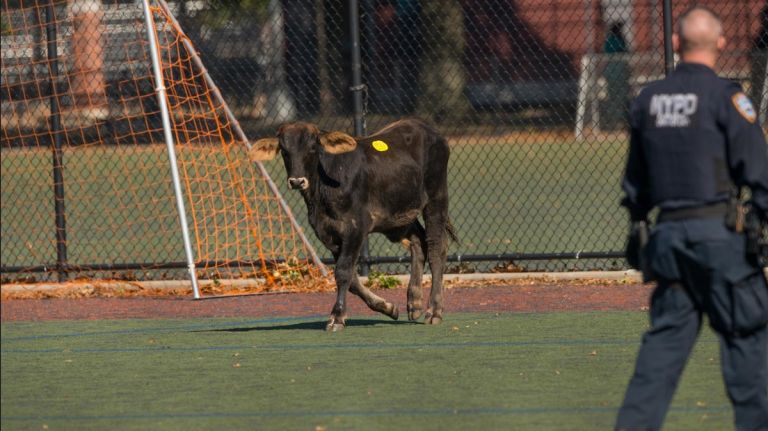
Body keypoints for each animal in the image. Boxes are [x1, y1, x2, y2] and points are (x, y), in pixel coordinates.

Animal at [249, 118, 457, 331]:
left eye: (313, 147)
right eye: (284, 150)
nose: (297, 181)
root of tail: (429, 130)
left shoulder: (356, 228)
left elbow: (343, 272)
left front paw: (337, 316)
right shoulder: (328, 234)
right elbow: (352, 280)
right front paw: (387, 307)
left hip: (436, 200)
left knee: (436, 248)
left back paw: (434, 310)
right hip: (398, 216)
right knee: (418, 242)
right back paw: (414, 303)